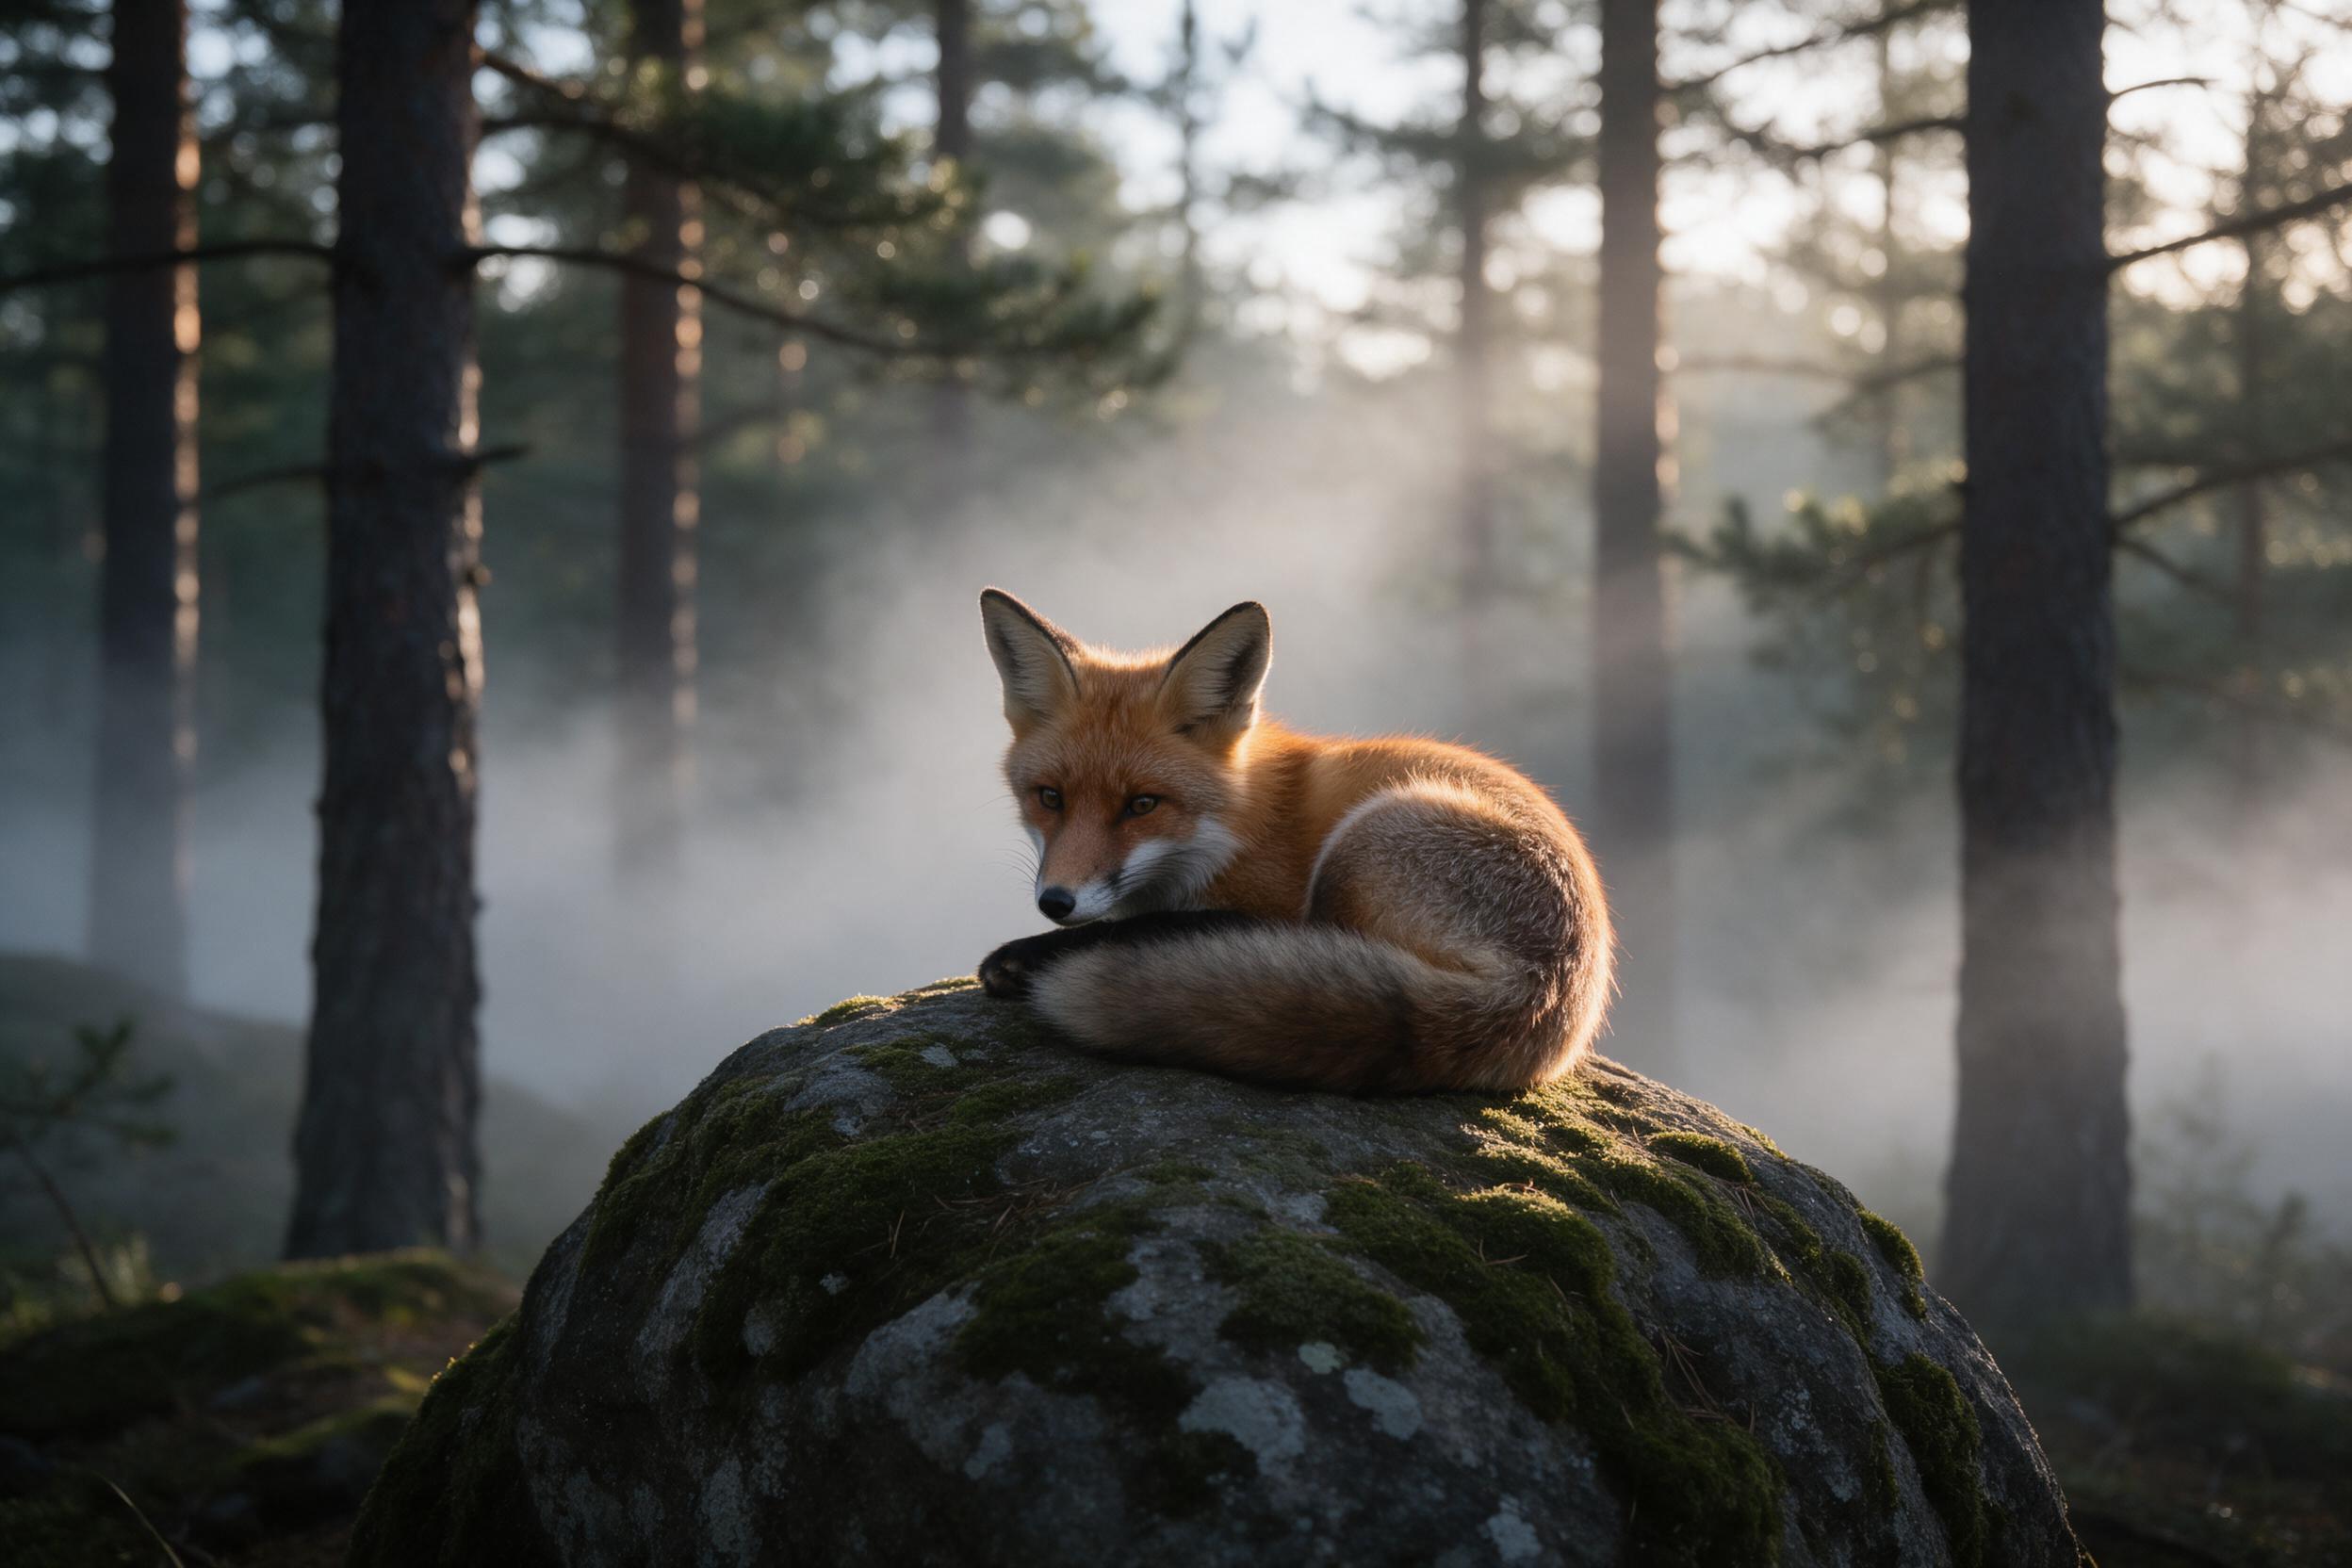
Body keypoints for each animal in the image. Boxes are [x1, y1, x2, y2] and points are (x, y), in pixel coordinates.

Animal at [974, 588, 1614, 1093]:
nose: (1056, 902)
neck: (1235, 827)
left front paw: (1030, 953)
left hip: (1361, 844)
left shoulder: (1268, 897)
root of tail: (1546, 988)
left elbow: (1157, 924)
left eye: (1143, 805)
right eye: (1050, 797)